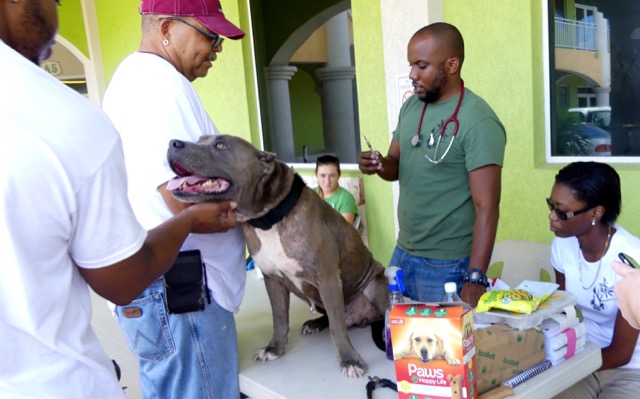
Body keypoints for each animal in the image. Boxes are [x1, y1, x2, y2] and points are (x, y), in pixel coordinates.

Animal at [168, 134, 388, 378]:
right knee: (332, 317)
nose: (173, 143)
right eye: (200, 140)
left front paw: (350, 360)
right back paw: (316, 323)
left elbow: (338, 329)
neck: (268, 219)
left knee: (363, 315)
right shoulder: (273, 280)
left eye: (220, 145)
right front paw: (274, 348)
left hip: (372, 287)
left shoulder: (328, 279)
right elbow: (279, 318)